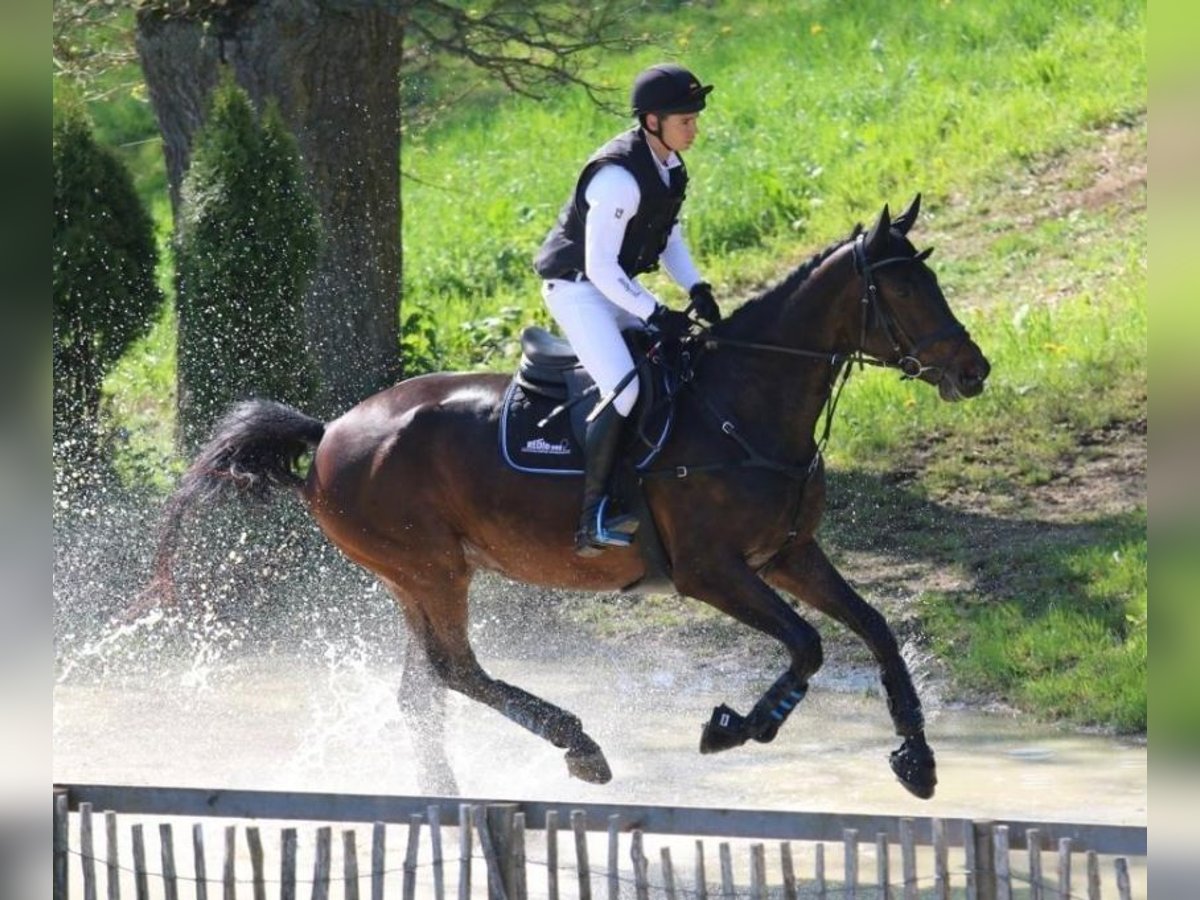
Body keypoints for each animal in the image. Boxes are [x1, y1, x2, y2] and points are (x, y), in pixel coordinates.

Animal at [150, 195, 988, 796]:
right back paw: (579, 747)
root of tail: (327, 434)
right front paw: (733, 727)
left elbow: (874, 629)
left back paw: (448, 798)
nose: (973, 371)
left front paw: (916, 760)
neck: (742, 404)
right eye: (902, 289)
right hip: (430, 569)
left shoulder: (787, 554)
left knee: (424, 689)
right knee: (456, 672)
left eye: (932, 277)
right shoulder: (711, 571)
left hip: (413, 579)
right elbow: (809, 644)